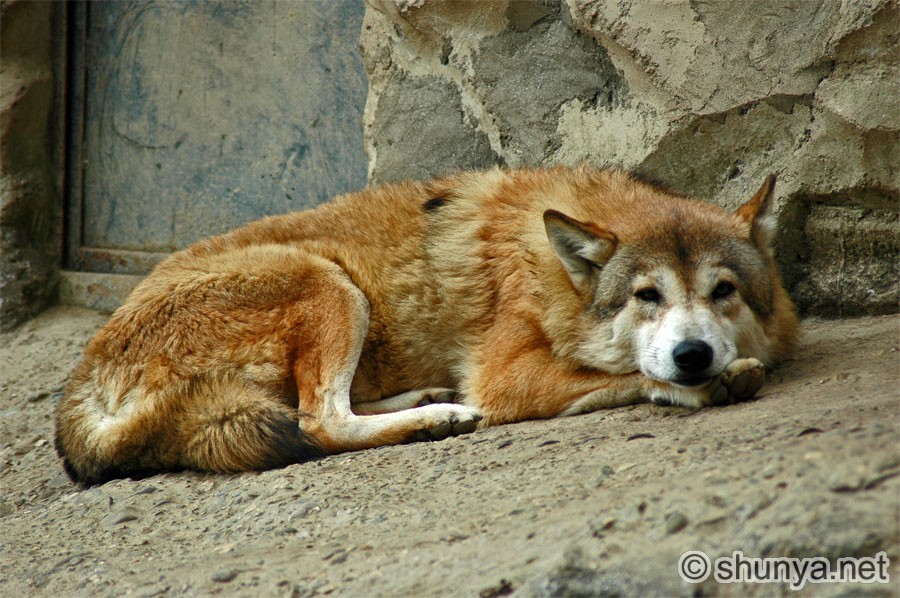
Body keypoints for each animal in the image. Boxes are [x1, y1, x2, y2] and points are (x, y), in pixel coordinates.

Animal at [56, 166, 800, 486]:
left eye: (723, 292)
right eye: (647, 296)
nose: (693, 353)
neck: (549, 268)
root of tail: (81, 386)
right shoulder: (504, 375)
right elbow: (623, 375)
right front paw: (701, 385)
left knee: (323, 409)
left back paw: (427, 401)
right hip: (328, 283)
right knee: (318, 423)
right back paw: (436, 419)